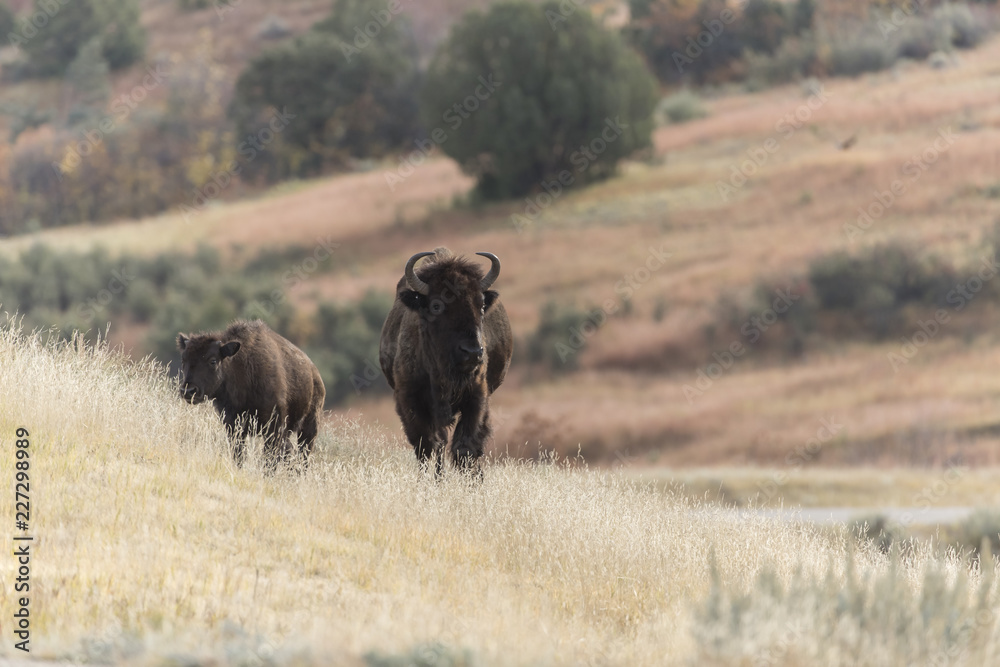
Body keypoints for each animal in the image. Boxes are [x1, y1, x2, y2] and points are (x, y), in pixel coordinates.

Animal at [176, 320, 324, 470]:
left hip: (309, 427)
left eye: (213, 361)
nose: (188, 391)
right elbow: (239, 456)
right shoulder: (233, 426)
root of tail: (315, 374)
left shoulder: (274, 428)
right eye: (183, 360)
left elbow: (269, 461)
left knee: (303, 455)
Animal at [378, 249, 512, 474]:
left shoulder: (476, 397)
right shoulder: (411, 401)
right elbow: (427, 446)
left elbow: (465, 447)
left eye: (481, 305)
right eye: (436, 306)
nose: (472, 352)